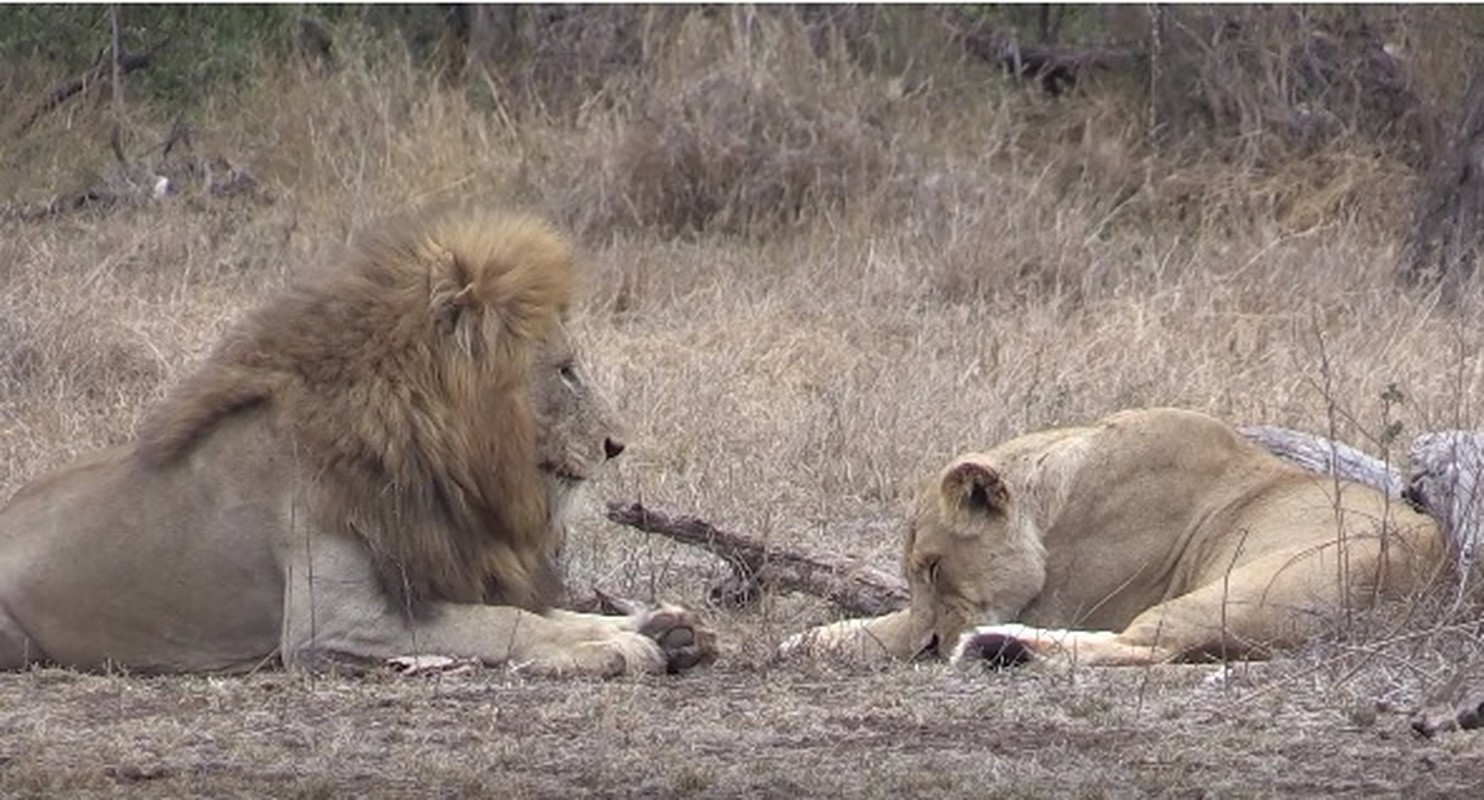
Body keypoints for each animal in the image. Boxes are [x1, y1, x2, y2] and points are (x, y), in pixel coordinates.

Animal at [0, 207, 718, 676]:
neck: (424, 447)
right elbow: (505, 621)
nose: (616, 444)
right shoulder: (334, 619)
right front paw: (615, 648)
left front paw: (662, 628)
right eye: (565, 370)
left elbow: (547, 611)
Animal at [783, 409, 1442, 667]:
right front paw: (808, 640)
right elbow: (884, 624)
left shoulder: (1067, 603)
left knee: (1146, 645)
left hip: (1245, 587)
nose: (932, 647)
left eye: (936, 568)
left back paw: (990, 644)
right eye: (916, 572)